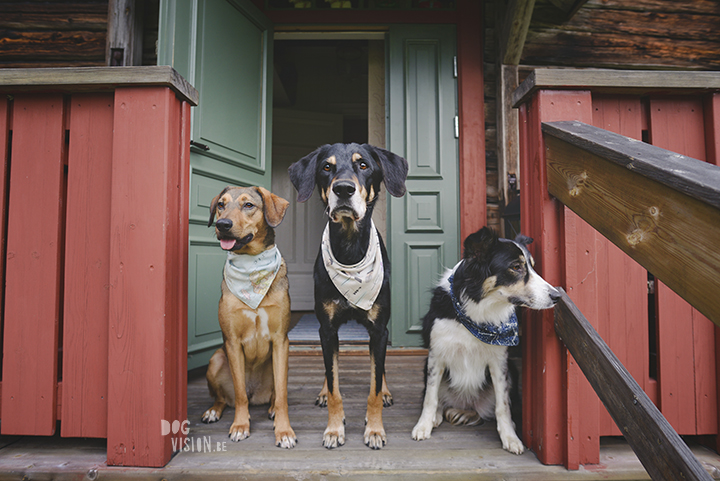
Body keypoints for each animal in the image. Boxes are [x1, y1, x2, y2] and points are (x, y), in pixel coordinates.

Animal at [201, 186, 296, 448]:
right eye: (221, 205)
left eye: (249, 205)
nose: (222, 224)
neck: (251, 266)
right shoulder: (232, 343)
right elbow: (240, 393)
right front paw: (240, 425)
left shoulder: (280, 340)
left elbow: (282, 394)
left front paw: (284, 431)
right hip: (215, 360)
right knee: (226, 398)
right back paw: (213, 411)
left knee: (274, 392)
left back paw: (271, 408)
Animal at [288, 141, 410, 448]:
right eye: (326, 167)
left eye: (363, 165)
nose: (343, 189)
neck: (350, 248)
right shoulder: (327, 328)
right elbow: (334, 385)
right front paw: (333, 429)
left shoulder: (379, 329)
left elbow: (374, 386)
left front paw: (375, 429)